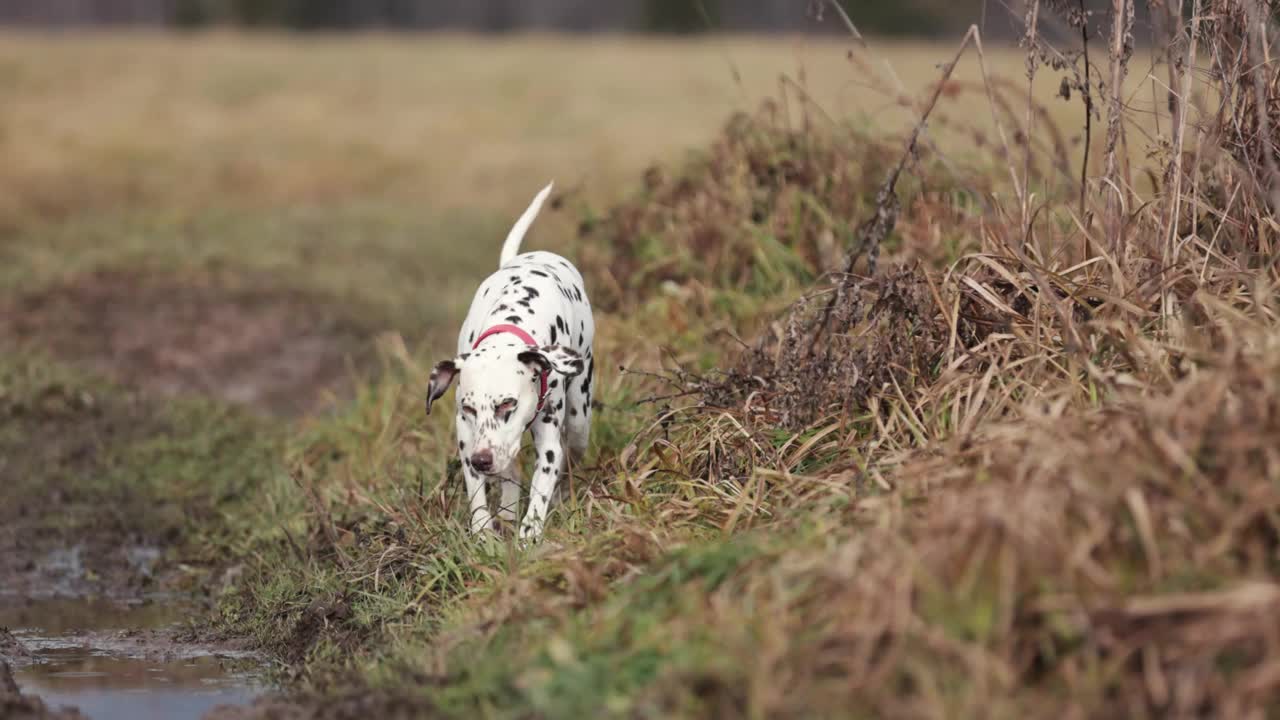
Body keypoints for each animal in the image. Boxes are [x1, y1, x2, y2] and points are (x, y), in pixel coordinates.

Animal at [424, 181, 593, 535]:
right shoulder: (466, 437)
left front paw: (530, 534)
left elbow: (543, 486)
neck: (509, 324)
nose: (483, 460)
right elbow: (478, 493)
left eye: (507, 404)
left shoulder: (549, 440)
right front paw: (484, 532)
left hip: (579, 413)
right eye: (469, 409)